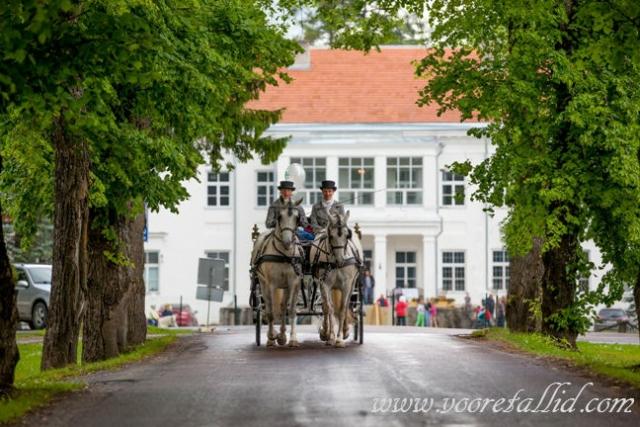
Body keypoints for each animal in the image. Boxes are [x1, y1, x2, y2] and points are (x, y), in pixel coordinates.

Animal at [251, 201, 304, 348]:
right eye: (279, 216)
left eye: (297, 218)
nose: (287, 241)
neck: (284, 255)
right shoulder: (271, 284)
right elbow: (270, 312)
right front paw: (271, 336)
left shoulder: (294, 283)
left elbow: (291, 310)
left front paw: (292, 339)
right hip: (263, 283)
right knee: (270, 307)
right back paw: (273, 337)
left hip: (285, 286)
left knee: (282, 307)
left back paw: (282, 335)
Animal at [312, 211, 362, 348]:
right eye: (331, 236)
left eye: (347, 235)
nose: (341, 261)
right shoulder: (324, 284)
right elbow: (329, 308)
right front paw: (330, 336)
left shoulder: (347, 285)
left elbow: (342, 309)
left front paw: (339, 338)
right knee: (327, 306)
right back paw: (327, 332)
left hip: (352, 284)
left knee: (345, 304)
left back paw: (345, 330)